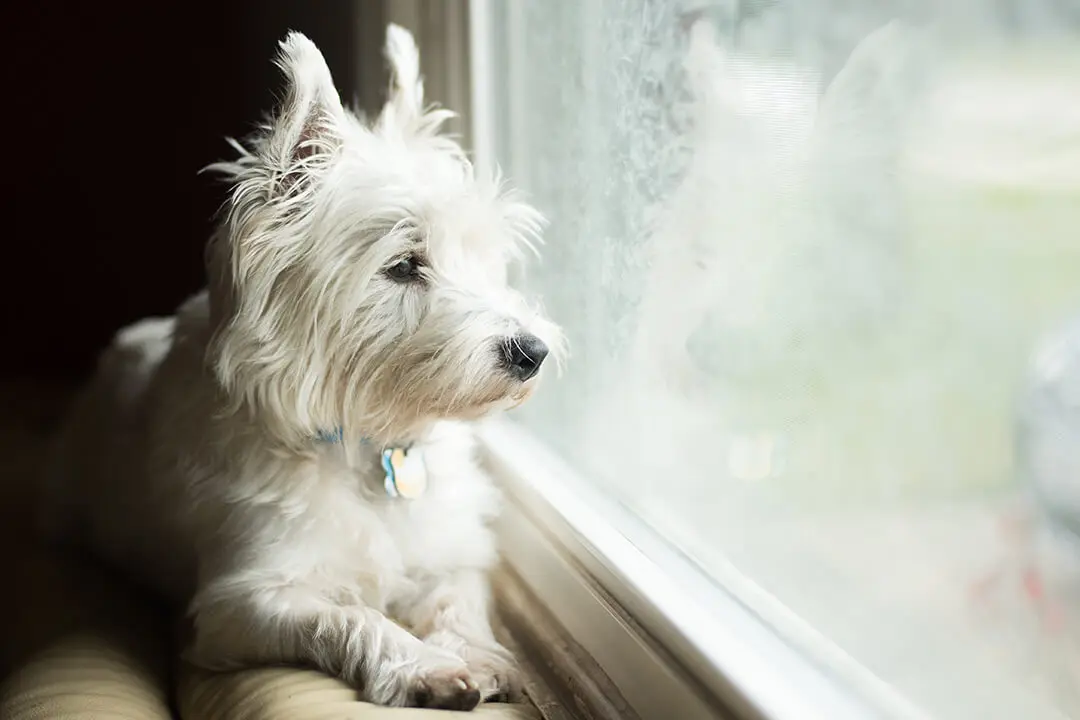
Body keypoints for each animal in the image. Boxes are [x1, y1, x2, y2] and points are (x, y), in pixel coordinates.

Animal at [43, 25, 565, 712]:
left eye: (482, 257)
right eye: (404, 265)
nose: (533, 352)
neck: (365, 442)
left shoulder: (452, 553)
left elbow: (457, 598)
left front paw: (475, 653)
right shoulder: (244, 602)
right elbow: (347, 616)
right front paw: (425, 666)